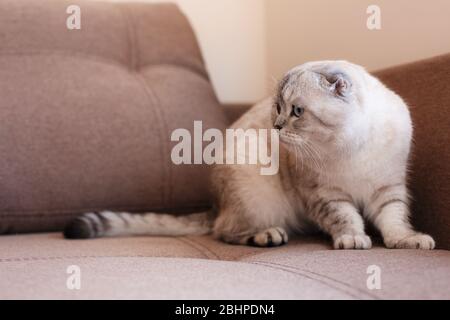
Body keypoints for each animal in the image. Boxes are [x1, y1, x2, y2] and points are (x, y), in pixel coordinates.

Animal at [64, 60, 436, 250]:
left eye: (297, 111)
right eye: (277, 108)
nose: (276, 126)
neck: (349, 148)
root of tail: (215, 205)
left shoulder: (388, 189)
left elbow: (394, 221)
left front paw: (407, 241)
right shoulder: (324, 195)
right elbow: (346, 219)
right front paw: (353, 239)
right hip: (255, 195)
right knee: (225, 231)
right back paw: (267, 236)